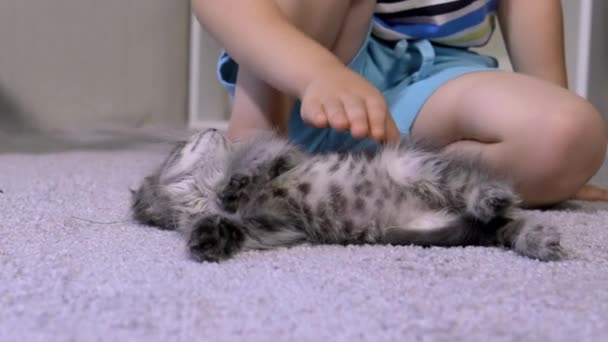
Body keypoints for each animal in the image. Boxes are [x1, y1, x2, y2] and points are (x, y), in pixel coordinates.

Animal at [132, 128, 564, 262]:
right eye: (180, 148)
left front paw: (235, 184)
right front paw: (208, 237)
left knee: (484, 193)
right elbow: (233, 226)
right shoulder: (274, 226)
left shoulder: (284, 155)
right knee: (504, 226)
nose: (211, 128)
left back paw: (494, 198)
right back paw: (539, 240)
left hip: (417, 168)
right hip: (434, 227)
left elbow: (256, 162)